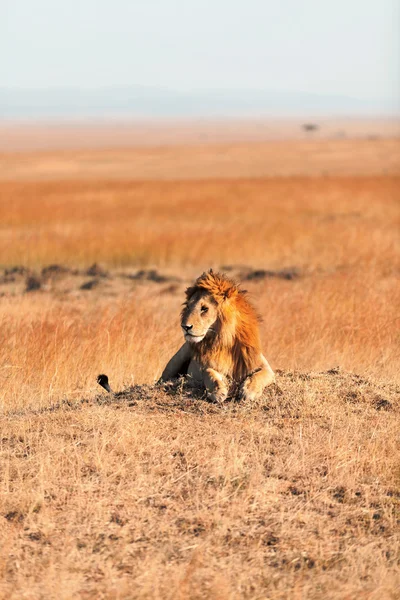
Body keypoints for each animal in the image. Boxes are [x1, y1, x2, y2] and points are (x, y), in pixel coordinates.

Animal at [159, 270, 276, 404]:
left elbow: (258, 376)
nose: (185, 326)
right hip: (178, 357)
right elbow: (209, 372)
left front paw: (249, 391)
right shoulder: (206, 367)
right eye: (188, 307)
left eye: (204, 309)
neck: (224, 341)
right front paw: (217, 392)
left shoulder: (265, 367)